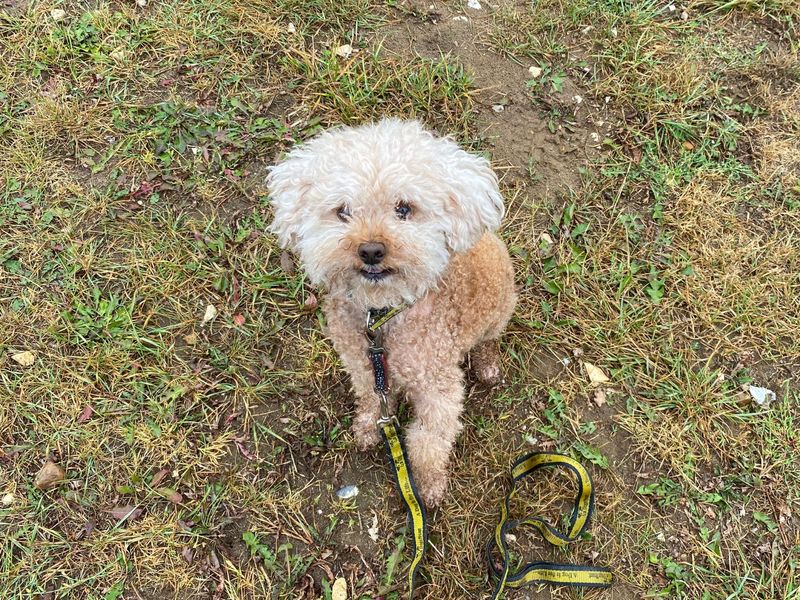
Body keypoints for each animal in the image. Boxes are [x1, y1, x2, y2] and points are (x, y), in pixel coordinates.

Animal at [268, 118, 516, 506]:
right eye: (342, 211)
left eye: (404, 209)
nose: (370, 250)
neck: (383, 314)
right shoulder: (361, 363)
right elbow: (371, 397)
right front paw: (368, 428)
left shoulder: (438, 387)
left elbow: (429, 440)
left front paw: (428, 486)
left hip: (499, 310)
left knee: (488, 340)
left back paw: (488, 365)